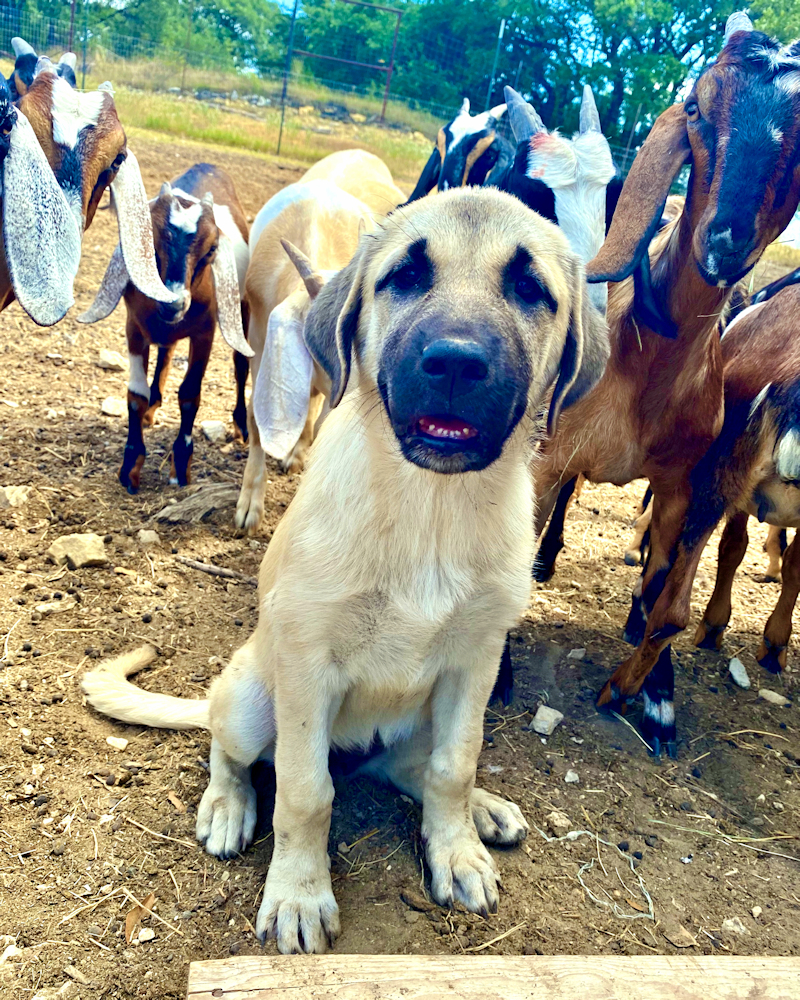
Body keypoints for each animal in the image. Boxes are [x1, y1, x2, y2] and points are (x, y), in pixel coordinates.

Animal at [83, 186, 608, 952]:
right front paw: (299, 896)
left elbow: (455, 765)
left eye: (530, 288)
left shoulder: (476, 659)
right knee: (228, 749)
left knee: (414, 766)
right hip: (251, 696)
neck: (430, 508)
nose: (456, 363)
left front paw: (455, 849)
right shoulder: (308, 662)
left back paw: (482, 810)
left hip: (420, 714)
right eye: (405, 276)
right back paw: (227, 806)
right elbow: (307, 793)